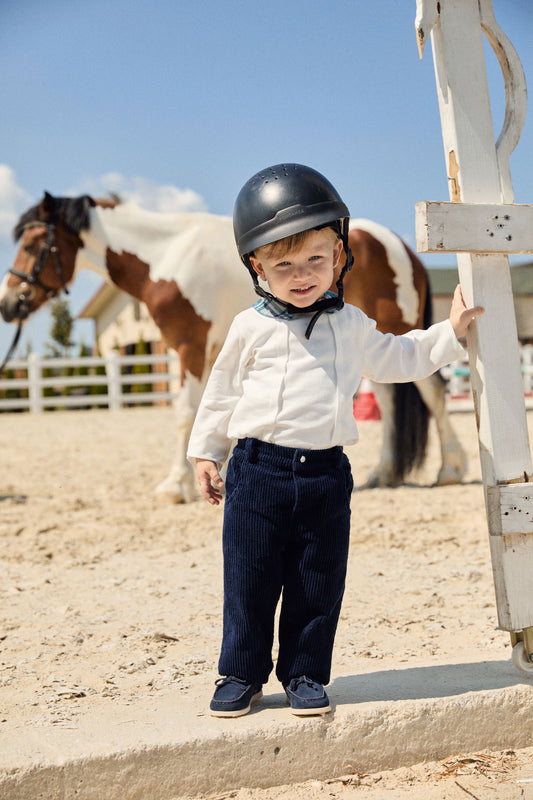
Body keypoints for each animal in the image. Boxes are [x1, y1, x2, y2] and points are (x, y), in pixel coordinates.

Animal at [0, 192, 466, 500]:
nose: (9, 304)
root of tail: (403, 246)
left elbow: (184, 413)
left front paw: (175, 486)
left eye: (33, 244)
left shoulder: (189, 347)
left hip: (396, 327)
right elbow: (208, 413)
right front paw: (203, 477)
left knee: (432, 392)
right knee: (389, 397)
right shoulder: (203, 353)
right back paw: (384, 473)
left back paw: (451, 469)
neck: (166, 256)